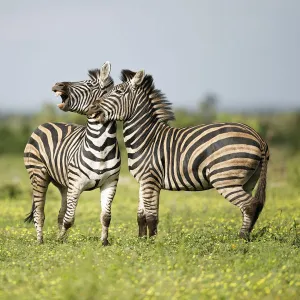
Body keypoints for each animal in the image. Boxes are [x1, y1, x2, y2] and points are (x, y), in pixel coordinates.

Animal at [23, 62, 120, 245]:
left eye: (89, 84)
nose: (57, 84)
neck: (101, 147)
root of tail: (45, 123)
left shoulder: (110, 183)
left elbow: (106, 217)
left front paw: (104, 242)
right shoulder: (76, 184)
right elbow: (69, 219)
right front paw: (60, 241)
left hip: (63, 183)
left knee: (60, 213)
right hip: (38, 174)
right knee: (39, 212)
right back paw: (40, 241)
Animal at [86, 69, 270, 240]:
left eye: (118, 92)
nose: (92, 108)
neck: (147, 138)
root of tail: (258, 137)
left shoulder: (150, 179)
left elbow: (151, 217)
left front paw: (152, 244)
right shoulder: (143, 181)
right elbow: (141, 215)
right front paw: (142, 240)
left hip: (225, 178)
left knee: (250, 206)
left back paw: (242, 238)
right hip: (247, 180)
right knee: (250, 207)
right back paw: (246, 235)